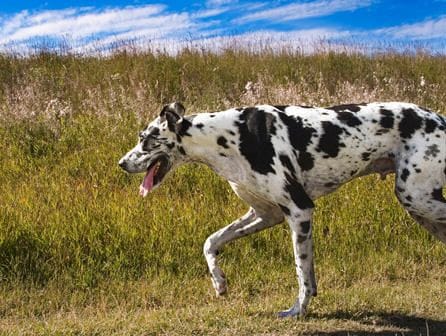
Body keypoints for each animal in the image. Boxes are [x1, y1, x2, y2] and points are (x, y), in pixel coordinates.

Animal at [119, 101, 446, 316]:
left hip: (416, 197)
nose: (121, 163)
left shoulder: (298, 210)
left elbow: (302, 272)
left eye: (147, 140)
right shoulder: (266, 214)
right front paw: (219, 282)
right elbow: (211, 242)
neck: (224, 136)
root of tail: (440, 118)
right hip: (420, 208)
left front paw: (297, 310)